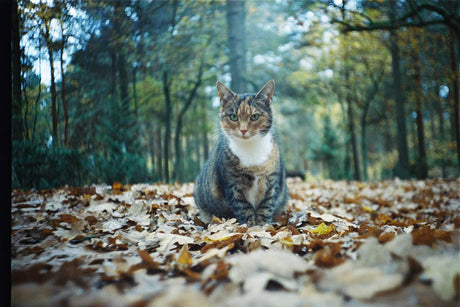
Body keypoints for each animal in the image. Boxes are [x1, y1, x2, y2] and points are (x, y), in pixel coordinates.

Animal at [193, 80, 288, 226]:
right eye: (233, 116)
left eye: (254, 116)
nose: (243, 130)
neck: (250, 150)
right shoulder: (233, 186)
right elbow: (244, 209)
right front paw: (251, 227)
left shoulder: (272, 183)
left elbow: (265, 208)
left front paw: (263, 226)